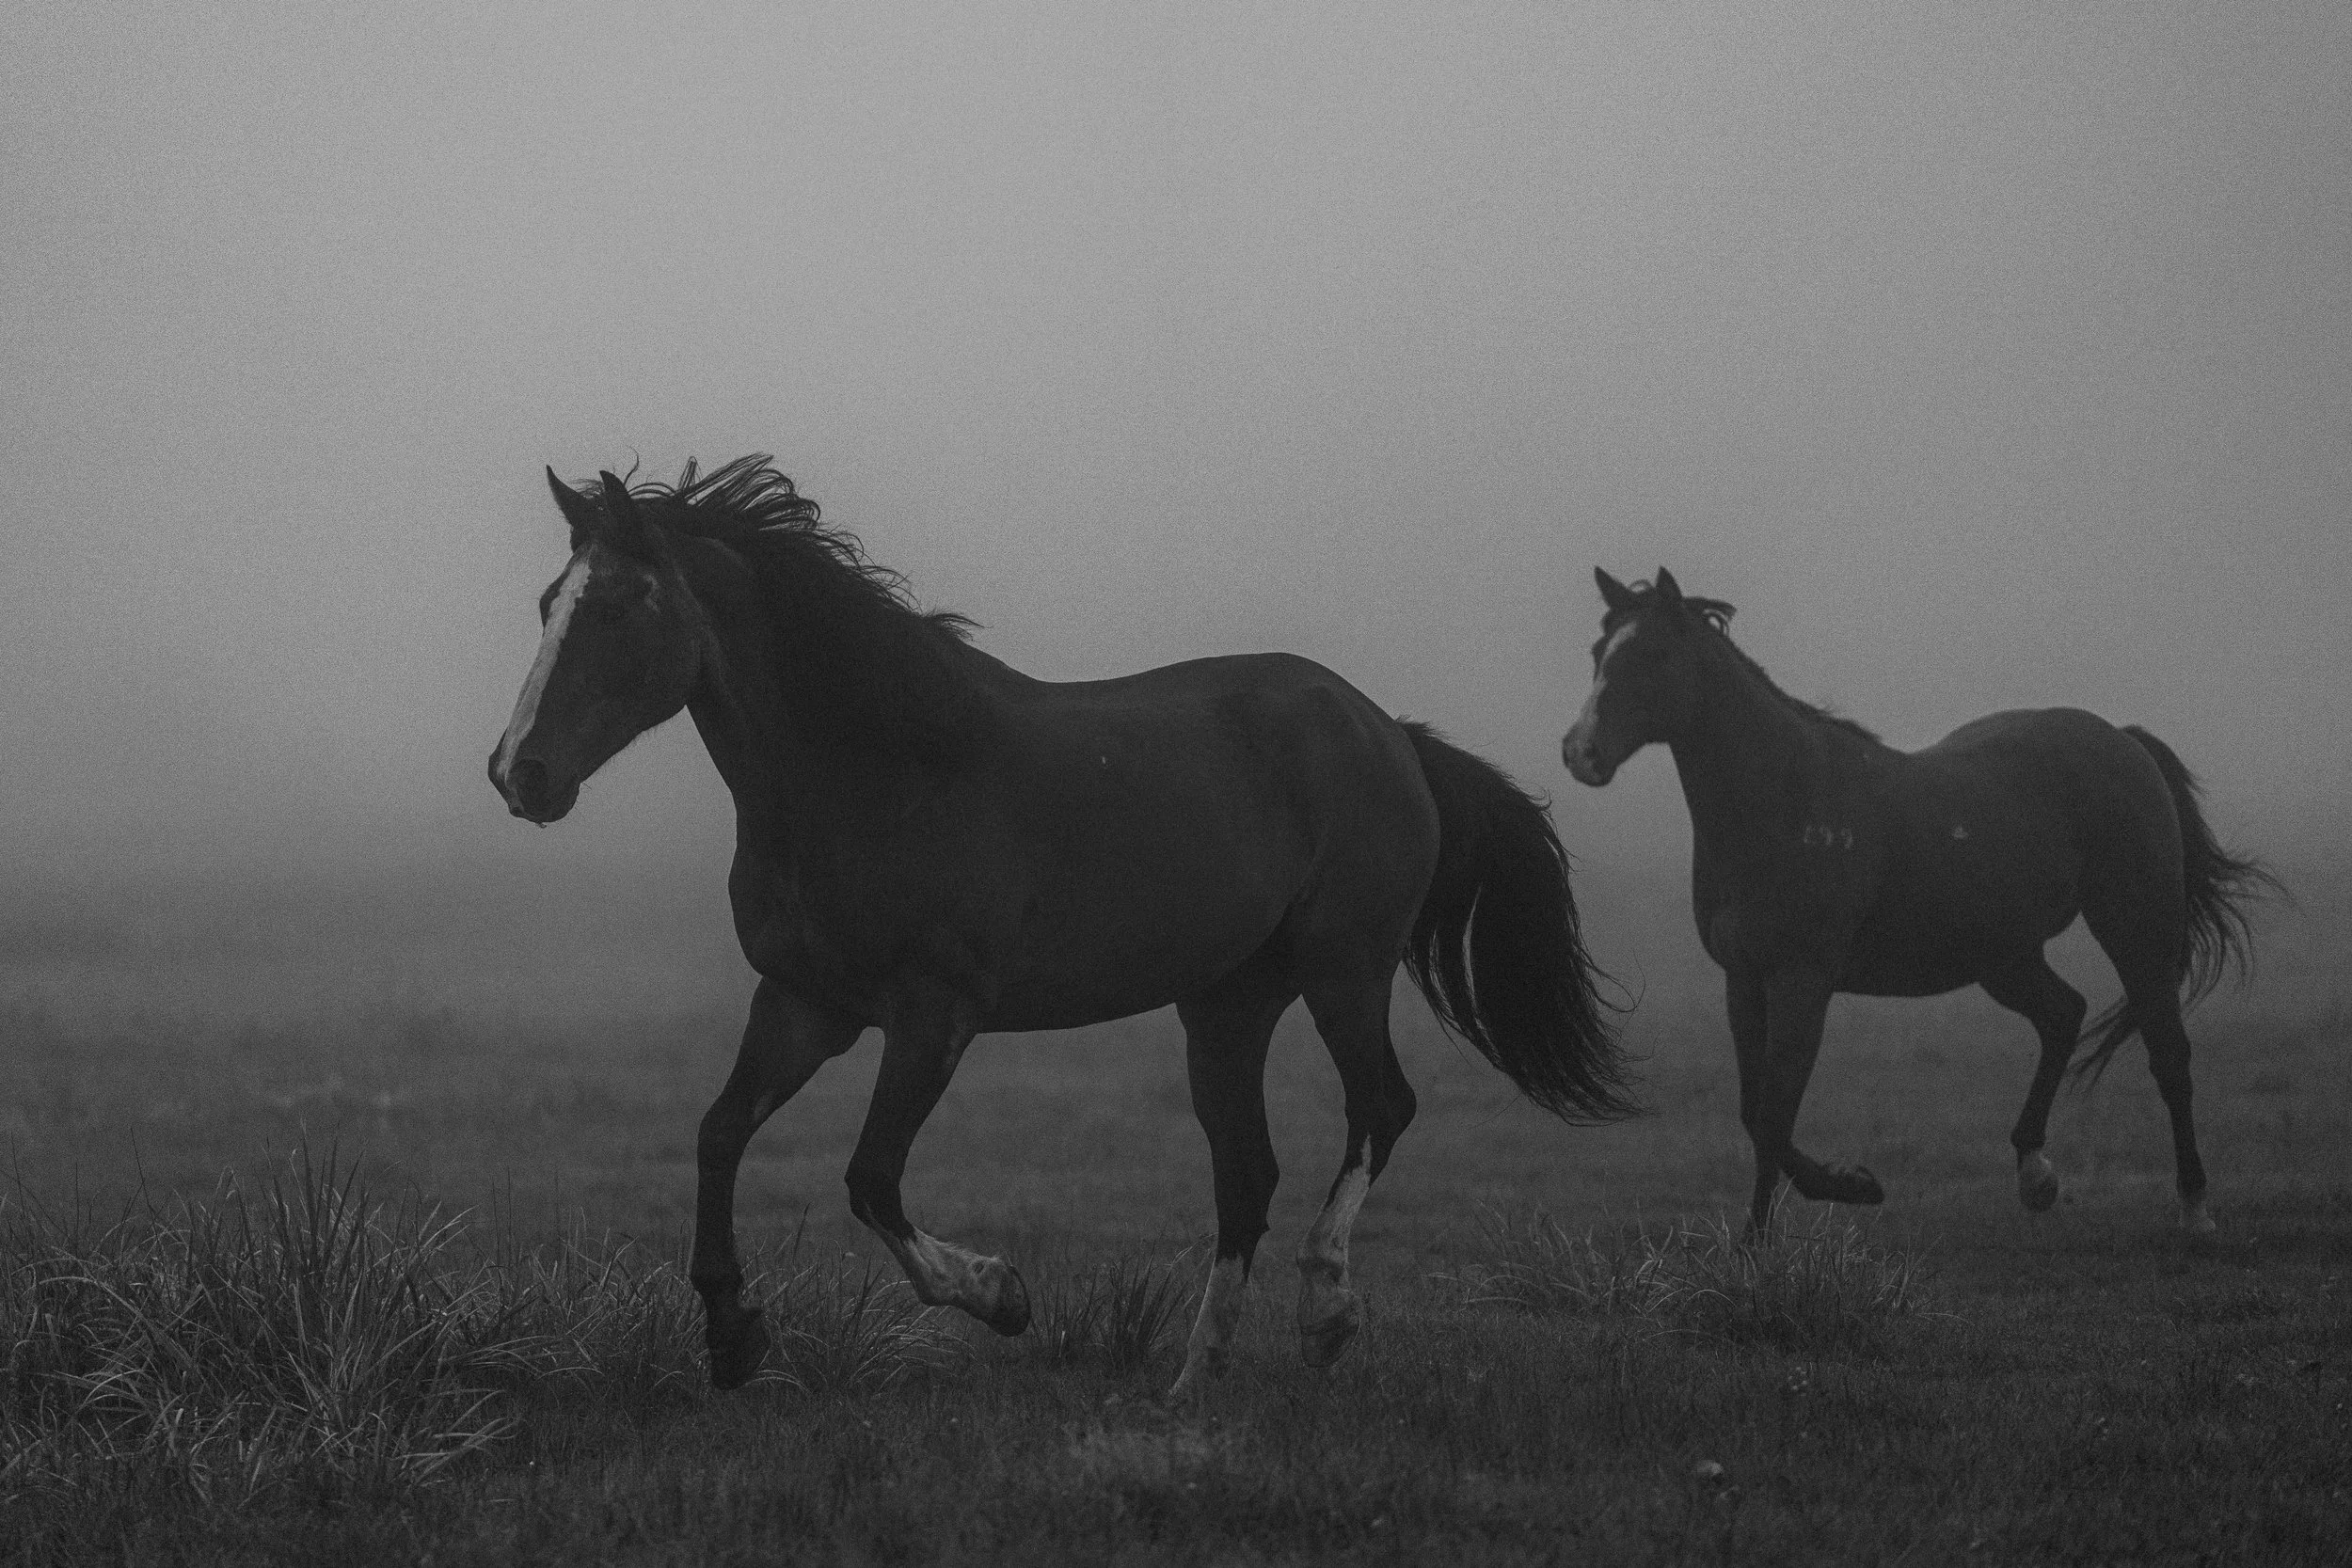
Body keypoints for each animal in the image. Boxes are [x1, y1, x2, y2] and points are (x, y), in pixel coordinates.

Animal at [488, 455, 1635, 1396]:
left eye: (627, 602)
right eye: (550, 601)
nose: (520, 773)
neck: (881, 771)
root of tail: (1386, 730)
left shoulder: (933, 1015)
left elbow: (870, 1178)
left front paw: (1000, 1292)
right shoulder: (806, 1002)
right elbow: (719, 1132)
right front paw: (732, 1332)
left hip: (1343, 967)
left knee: (1378, 1109)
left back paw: (1325, 1312)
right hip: (1228, 1002)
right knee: (1247, 1173)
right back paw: (1193, 1375)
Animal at [1559, 568, 2274, 1236]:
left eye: (1654, 655)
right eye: (1599, 648)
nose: (1580, 753)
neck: (1784, 802)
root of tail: (2123, 742)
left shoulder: (1801, 981)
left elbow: (1775, 1115)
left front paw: (1834, 1197)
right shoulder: (1743, 980)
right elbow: (1755, 1112)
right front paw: (1778, 1227)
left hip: (2135, 928)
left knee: (2168, 1054)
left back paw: (2194, 1206)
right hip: (2002, 956)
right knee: (2062, 1014)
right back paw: (2036, 1176)